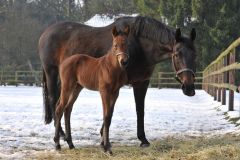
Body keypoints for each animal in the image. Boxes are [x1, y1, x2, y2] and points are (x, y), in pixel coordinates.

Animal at [54, 26, 129, 154]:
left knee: (67, 109)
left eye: (127, 44)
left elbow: (110, 116)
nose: (123, 62)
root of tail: (63, 63)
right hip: (67, 87)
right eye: (115, 45)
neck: (112, 68)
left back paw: (70, 144)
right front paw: (106, 147)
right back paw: (57, 144)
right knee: (60, 109)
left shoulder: (115, 93)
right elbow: (106, 116)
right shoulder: (104, 92)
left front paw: (105, 145)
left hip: (77, 88)